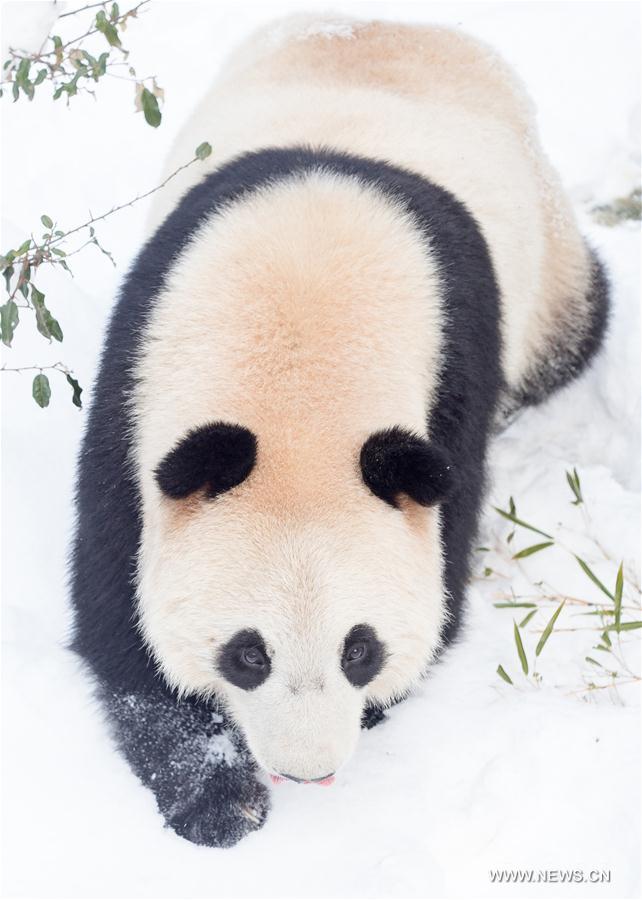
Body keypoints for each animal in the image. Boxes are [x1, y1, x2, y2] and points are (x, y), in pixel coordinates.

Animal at [71, 16, 609, 847]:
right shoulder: (137, 382)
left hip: (548, 268)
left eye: (360, 649)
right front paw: (216, 798)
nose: (307, 771)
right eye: (247, 655)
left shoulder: (452, 393)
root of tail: (404, 25)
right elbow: (117, 613)